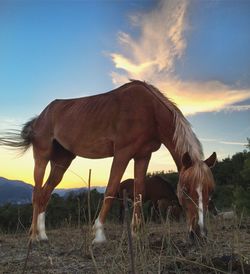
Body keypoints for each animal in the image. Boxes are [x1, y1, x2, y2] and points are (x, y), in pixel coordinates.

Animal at [0, 80, 217, 243]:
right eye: (185, 190)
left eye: (210, 190)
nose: (199, 234)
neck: (149, 110)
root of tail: (41, 116)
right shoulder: (122, 153)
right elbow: (111, 189)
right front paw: (98, 234)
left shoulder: (143, 155)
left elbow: (139, 191)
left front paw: (136, 233)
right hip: (42, 157)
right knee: (37, 192)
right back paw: (34, 236)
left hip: (61, 161)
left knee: (45, 193)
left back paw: (43, 235)